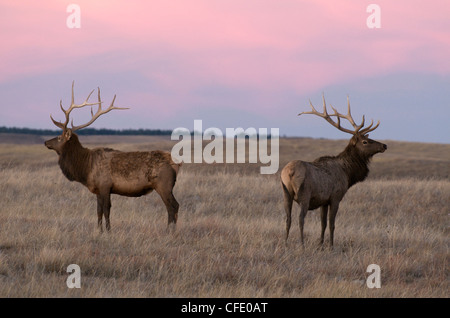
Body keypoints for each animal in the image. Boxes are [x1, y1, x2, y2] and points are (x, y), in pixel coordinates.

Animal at [44, 82, 181, 231]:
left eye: (59, 137)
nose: (45, 142)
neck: (86, 168)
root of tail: (176, 164)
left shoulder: (105, 186)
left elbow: (106, 210)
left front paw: (108, 231)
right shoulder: (98, 189)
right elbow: (98, 211)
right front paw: (99, 230)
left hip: (163, 185)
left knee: (173, 206)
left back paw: (169, 230)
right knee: (174, 206)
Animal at [282, 94, 386, 248]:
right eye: (365, 142)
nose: (384, 145)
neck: (348, 174)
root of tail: (289, 172)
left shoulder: (323, 201)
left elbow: (323, 224)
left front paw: (320, 245)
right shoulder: (335, 197)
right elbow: (332, 224)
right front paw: (331, 246)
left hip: (285, 193)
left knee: (288, 218)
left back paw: (285, 243)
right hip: (304, 194)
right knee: (300, 218)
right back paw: (302, 244)